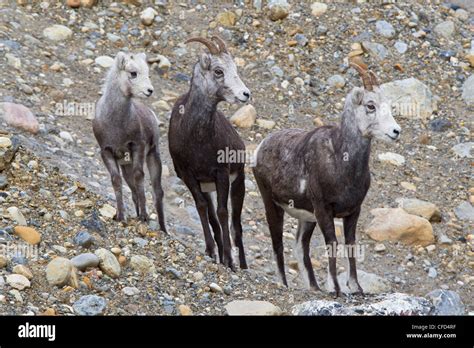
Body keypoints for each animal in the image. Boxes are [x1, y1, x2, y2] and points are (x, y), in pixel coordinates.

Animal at [92, 51, 167, 232]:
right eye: (133, 73)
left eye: (147, 73)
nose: (149, 91)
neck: (116, 123)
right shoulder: (107, 152)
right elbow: (116, 181)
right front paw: (120, 216)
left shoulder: (137, 146)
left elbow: (140, 177)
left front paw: (144, 217)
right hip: (126, 166)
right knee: (132, 190)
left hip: (153, 156)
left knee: (157, 192)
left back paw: (163, 229)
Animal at [169, 36, 252, 270]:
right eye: (218, 71)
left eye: (235, 68)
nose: (245, 94)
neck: (197, 139)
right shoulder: (189, 176)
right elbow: (202, 208)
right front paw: (211, 252)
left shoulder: (221, 174)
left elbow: (224, 214)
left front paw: (230, 261)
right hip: (208, 187)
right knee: (214, 217)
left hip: (238, 183)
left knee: (236, 226)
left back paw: (242, 265)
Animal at [252, 57, 400, 296]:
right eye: (371, 105)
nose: (396, 131)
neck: (341, 162)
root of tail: (260, 147)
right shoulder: (324, 210)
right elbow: (332, 244)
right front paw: (337, 289)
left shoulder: (353, 212)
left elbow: (350, 245)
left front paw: (355, 288)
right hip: (272, 205)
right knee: (277, 243)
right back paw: (284, 283)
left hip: (307, 218)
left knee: (300, 245)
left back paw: (314, 287)